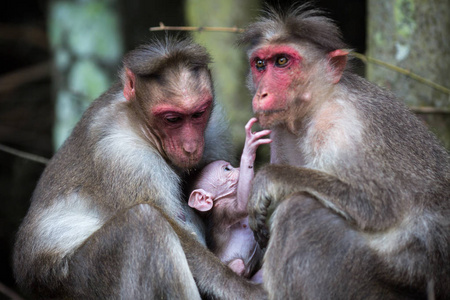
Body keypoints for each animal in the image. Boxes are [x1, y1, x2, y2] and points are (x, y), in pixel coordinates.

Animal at [187, 118, 270, 282]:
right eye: (227, 169)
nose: (238, 168)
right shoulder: (222, 210)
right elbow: (242, 206)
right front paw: (249, 148)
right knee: (238, 264)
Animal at [239, 4, 450, 300]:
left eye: (282, 62)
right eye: (260, 64)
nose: (262, 95)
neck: (319, 103)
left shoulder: (341, 126)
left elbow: (379, 205)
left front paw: (269, 178)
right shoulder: (280, 127)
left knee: (300, 210)